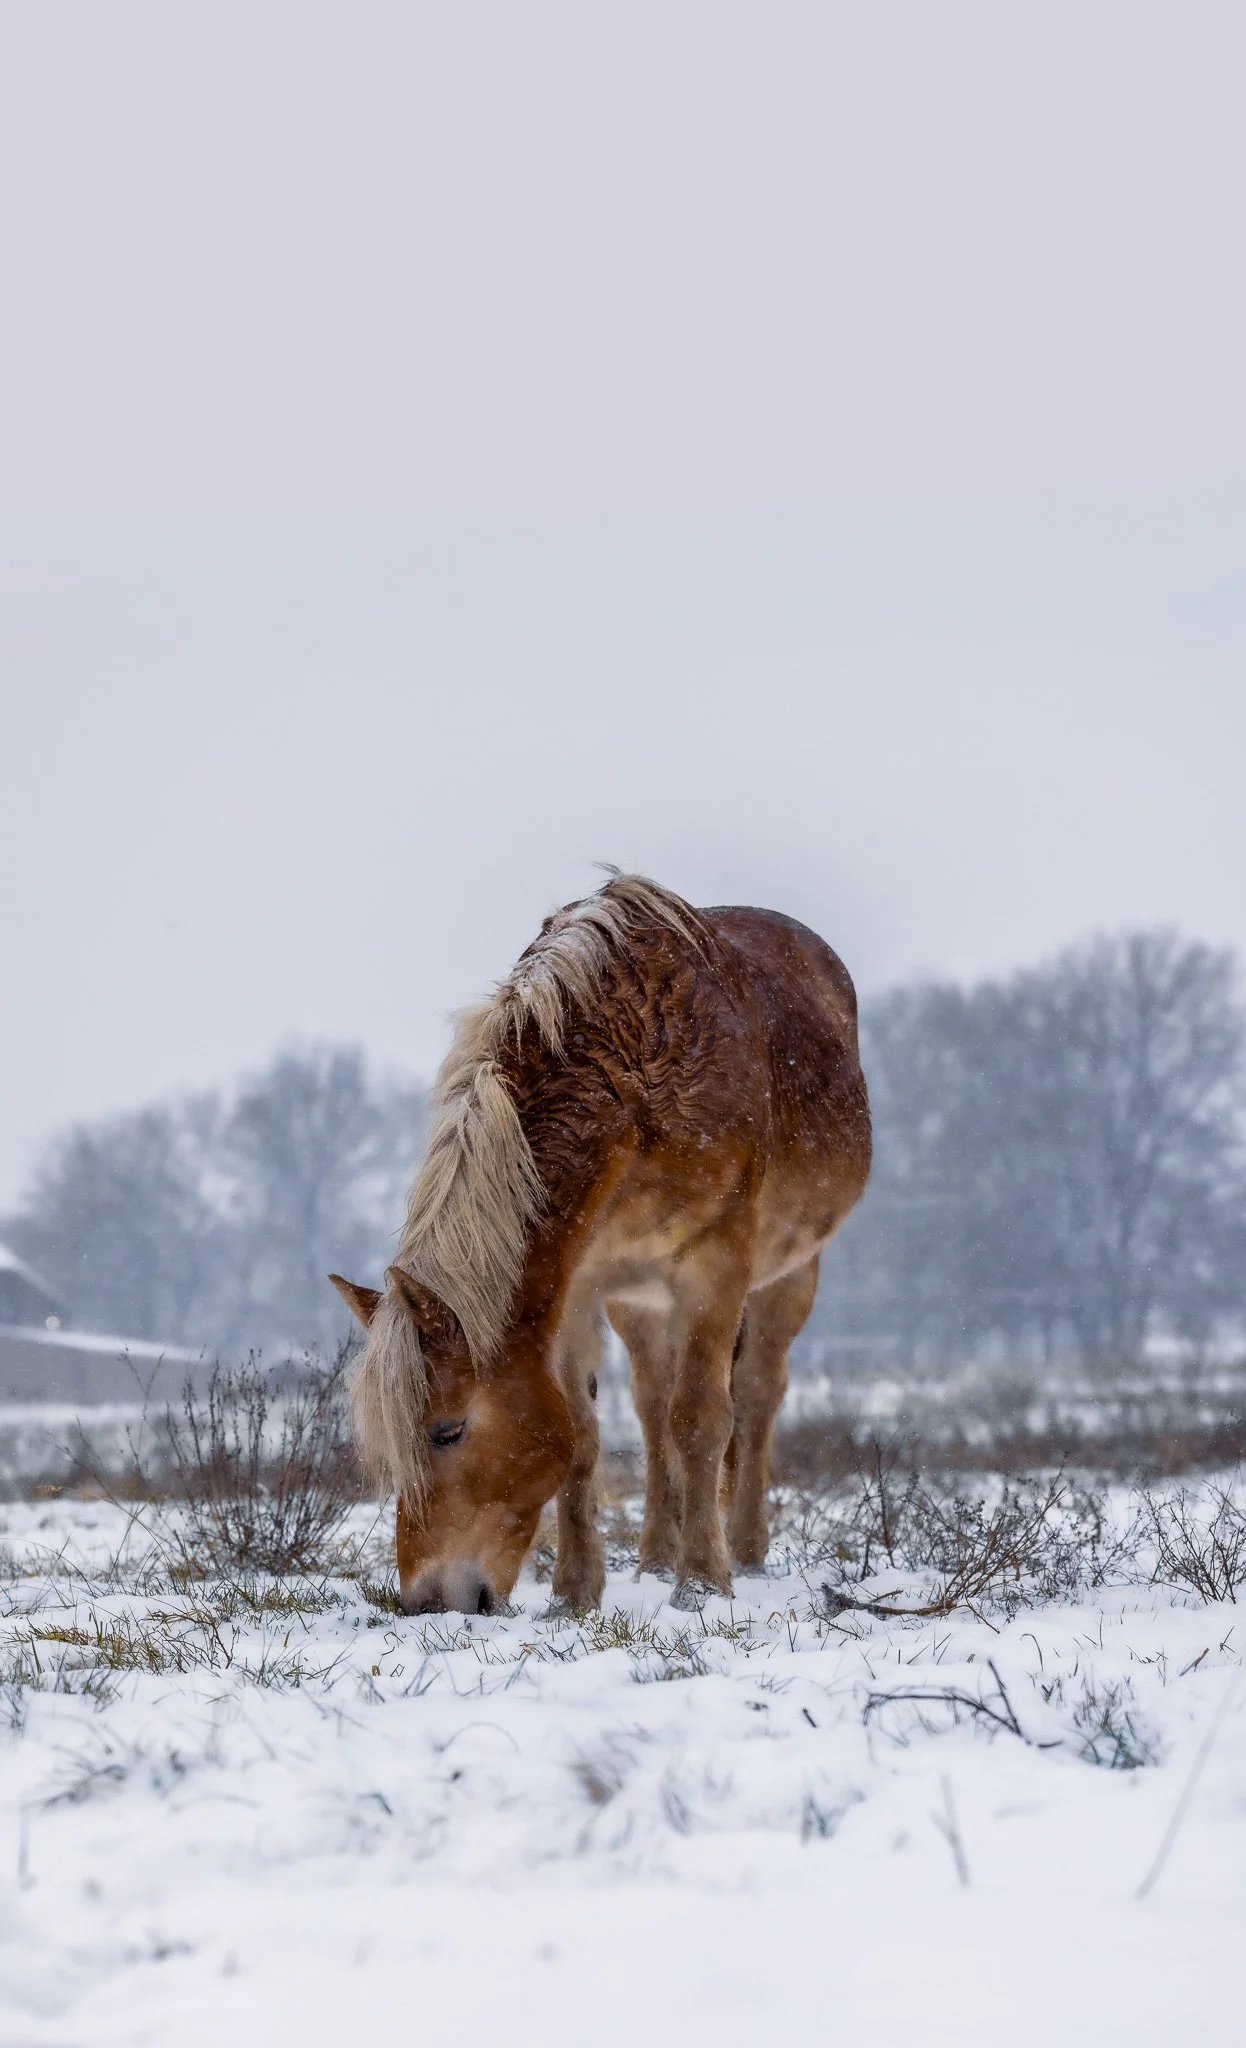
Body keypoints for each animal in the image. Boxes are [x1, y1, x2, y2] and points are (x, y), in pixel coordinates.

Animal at [330, 873, 871, 1615]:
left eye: (447, 1431)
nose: (425, 1602)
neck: (639, 1070)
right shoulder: (579, 1284)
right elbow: (585, 1434)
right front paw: (576, 1593)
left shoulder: (716, 1265)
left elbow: (704, 1418)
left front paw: (704, 1583)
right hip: (639, 1301)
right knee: (652, 1408)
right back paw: (655, 1558)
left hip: (791, 1273)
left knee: (756, 1397)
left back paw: (746, 1551)